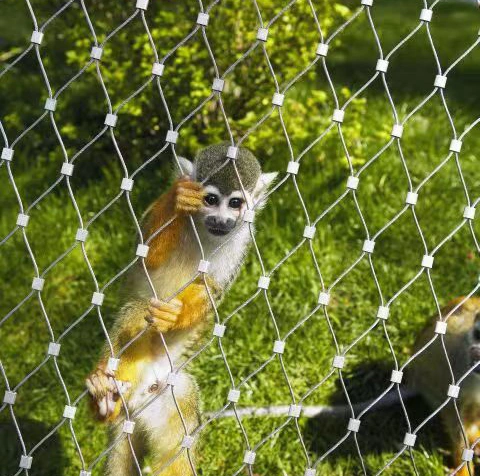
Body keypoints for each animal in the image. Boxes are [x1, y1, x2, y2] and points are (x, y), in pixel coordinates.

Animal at [86, 144, 278, 476]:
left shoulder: (242, 240)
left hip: (168, 394)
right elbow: (147, 257)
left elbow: (212, 289)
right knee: (136, 312)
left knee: (181, 424)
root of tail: (135, 403)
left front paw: (175, 316)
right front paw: (179, 201)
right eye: (210, 200)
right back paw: (104, 403)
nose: (221, 221)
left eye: (236, 203)